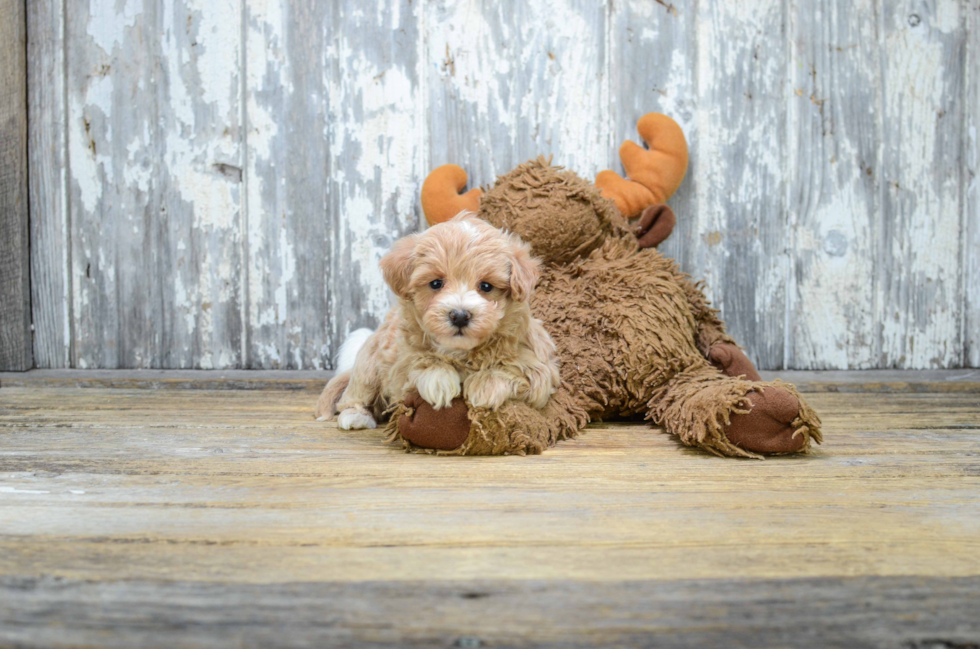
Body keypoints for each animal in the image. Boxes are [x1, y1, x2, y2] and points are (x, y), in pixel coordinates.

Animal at [314, 210, 560, 430]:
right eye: (435, 283)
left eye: (486, 286)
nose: (459, 315)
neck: (461, 352)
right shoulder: (399, 363)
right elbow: (419, 362)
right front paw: (439, 380)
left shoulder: (539, 366)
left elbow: (515, 371)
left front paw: (484, 386)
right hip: (369, 362)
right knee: (357, 393)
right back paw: (356, 416)